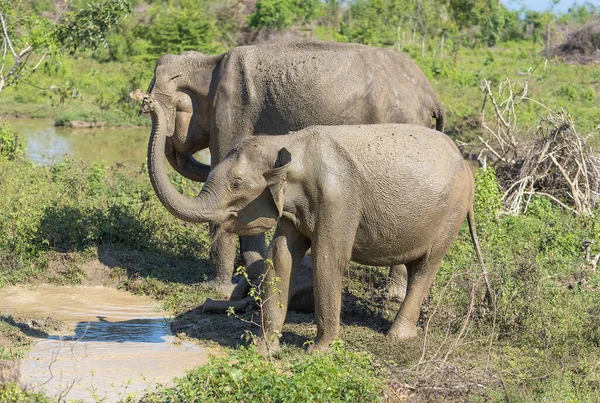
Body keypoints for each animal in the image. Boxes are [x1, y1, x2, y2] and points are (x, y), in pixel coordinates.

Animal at [138, 38, 442, 304]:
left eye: (154, 102)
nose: (145, 102)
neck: (209, 63)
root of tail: (431, 96)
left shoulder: (230, 112)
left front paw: (217, 288)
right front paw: (251, 274)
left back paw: (392, 295)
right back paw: (394, 295)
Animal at [144, 94, 482, 354]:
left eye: (237, 183)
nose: (146, 101)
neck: (290, 144)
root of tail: (464, 160)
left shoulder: (338, 197)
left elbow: (328, 259)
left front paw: (317, 352)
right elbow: (281, 258)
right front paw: (263, 351)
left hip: (451, 214)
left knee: (426, 266)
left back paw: (397, 337)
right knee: (417, 267)